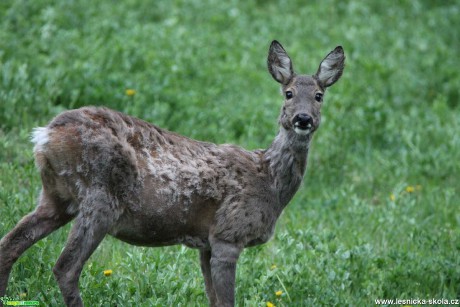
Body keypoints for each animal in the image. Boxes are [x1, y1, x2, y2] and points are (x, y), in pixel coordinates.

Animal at [0, 41, 344, 307]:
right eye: (288, 93)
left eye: (319, 96)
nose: (303, 119)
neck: (269, 181)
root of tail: (46, 134)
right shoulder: (229, 234)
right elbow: (226, 300)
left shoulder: (207, 242)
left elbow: (213, 300)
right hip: (100, 197)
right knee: (66, 268)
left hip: (56, 196)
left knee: (11, 244)